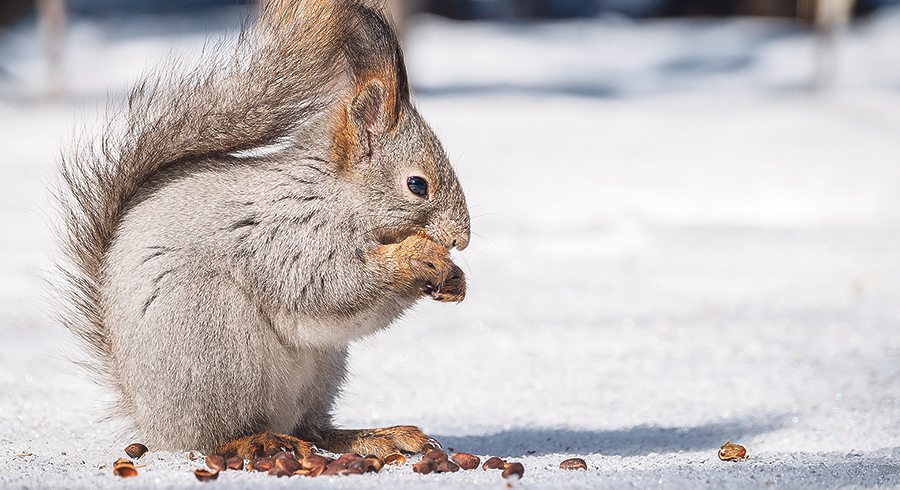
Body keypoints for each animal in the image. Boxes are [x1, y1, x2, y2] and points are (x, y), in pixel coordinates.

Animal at [56, 0, 472, 460]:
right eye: (417, 185)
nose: (462, 238)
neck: (333, 194)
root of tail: (153, 422)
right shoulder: (284, 235)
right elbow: (327, 286)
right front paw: (417, 255)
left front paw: (455, 279)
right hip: (217, 347)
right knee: (220, 437)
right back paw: (261, 440)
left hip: (320, 370)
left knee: (314, 430)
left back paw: (372, 437)